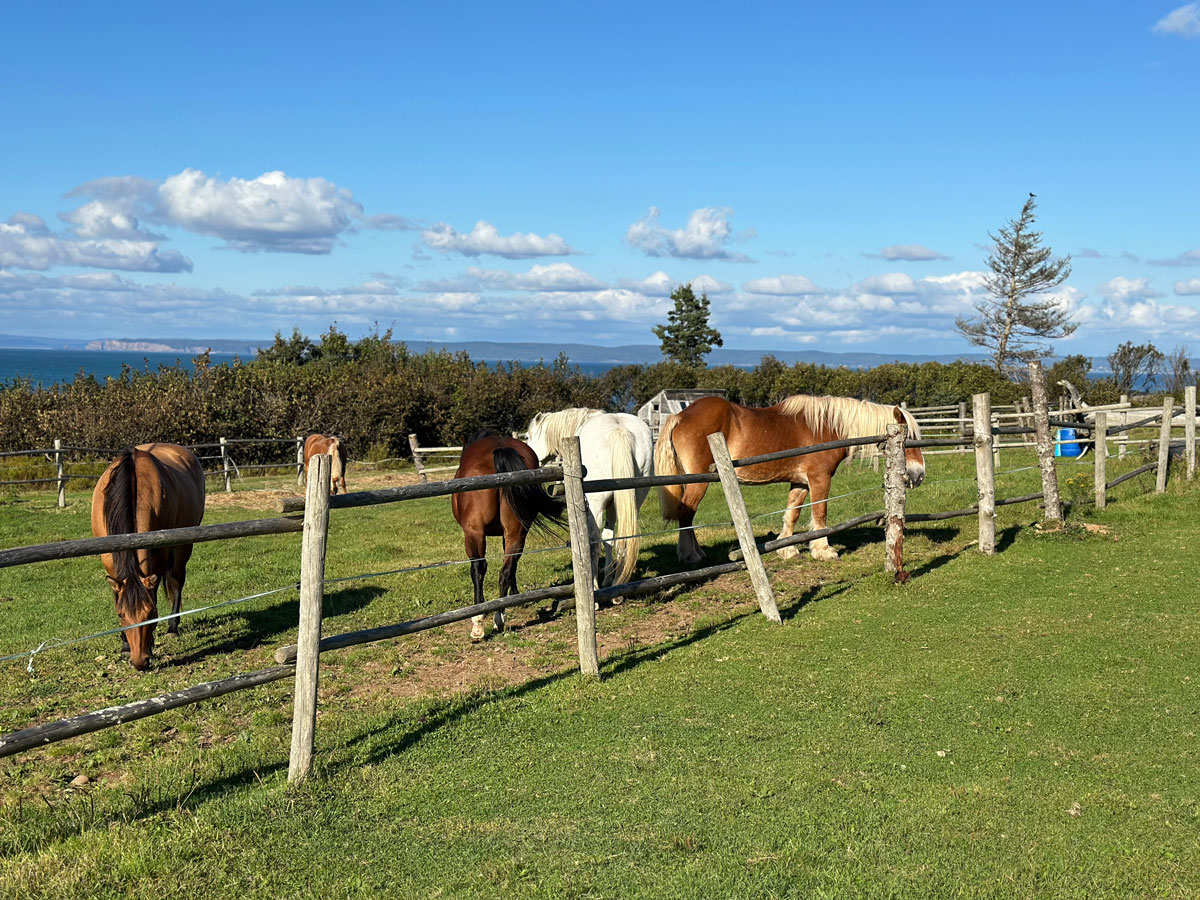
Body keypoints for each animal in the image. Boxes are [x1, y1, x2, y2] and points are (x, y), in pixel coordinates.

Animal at [90, 443, 206, 670]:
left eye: (151, 613)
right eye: (121, 615)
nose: (139, 662)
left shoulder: (159, 552)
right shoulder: (108, 557)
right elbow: (117, 592)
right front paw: (125, 645)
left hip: (182, 546)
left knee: (177, 581)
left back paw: (172, 628)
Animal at [451, 431, 566, 641]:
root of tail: (500, 449)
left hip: (474, 533)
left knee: (478, 569)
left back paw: (478, 622)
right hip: (517, 531)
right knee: (506, 570)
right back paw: (500, 617)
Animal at [525, 407, 653, 588]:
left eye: (527, 437)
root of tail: (620, 430)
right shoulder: (614, 505)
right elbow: (609, 538)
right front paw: (608, 577)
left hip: (596, 505)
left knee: (593, 541)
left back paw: (593, 586)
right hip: (633, 503)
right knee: (625, 538)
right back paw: (618, 584)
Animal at [655, 395, 924, 564]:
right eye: (908, 436)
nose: (919, 474)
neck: (827, 427)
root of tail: (680, 416)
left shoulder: (801, 482)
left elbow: (792, 513)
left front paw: (787, 548)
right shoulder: (819, 479)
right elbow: (820, 514)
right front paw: (823, 550)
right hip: (698, 482)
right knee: (686, 514)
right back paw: (690, 555)